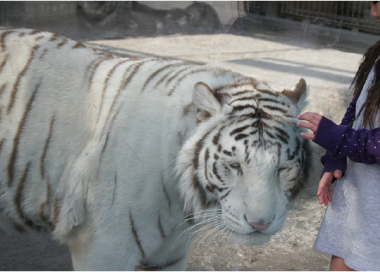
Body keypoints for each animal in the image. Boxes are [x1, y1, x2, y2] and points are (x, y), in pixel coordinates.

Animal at [0, 28, 310, 272]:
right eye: (234, 165)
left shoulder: (170, 253)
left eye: (283, 168)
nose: (260, 224)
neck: (179, 197)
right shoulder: (104, 248)